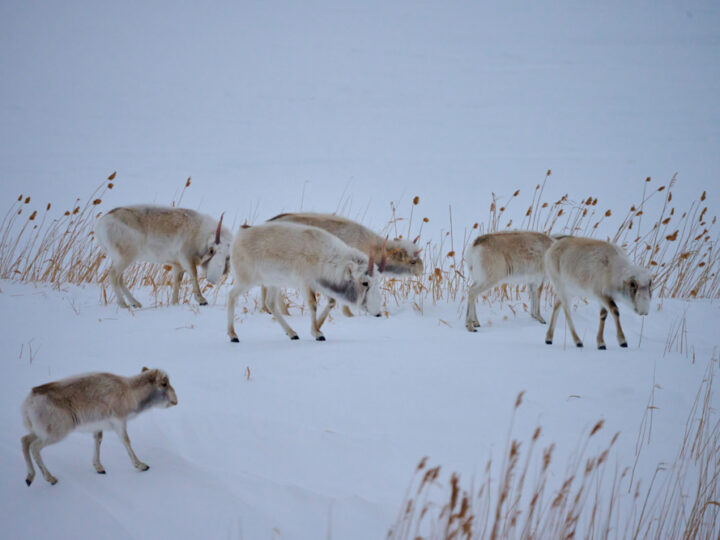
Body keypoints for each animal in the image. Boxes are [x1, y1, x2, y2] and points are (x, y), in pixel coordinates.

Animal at [21, 368, 179, 486]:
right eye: (164, 383)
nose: (176, 401)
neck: (130, 392)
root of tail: (29, 402)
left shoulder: (98, 427)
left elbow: (98, 440)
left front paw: (99, 468)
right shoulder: (119, 422)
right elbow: (126, 441)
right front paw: (141, 465)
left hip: (40, 431)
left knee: (24, 440)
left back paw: (30, 477)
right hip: (55, 433)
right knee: (34, 447)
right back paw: (50, 478)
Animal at [95, 206, 231, 308]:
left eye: (227, 257)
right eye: (212, 250)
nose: (212, 279)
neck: (199, 232)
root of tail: (102, 223)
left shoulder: (177, 265)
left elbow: (177, 281)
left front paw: (174, 302)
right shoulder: (185, 258)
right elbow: (194, 274)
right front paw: (202, 300)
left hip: (121, 260)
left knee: (120, 279)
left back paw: (136, 303)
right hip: (125, 258)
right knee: (113, 275)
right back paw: (124, 305)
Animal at [226, 223, 382, 342]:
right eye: (365, 283)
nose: (378, 313)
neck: (328, 260)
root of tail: (240, 234)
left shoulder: (321, 286)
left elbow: (331, 302)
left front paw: (318, 328)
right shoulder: (306, 284)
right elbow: (313, 305)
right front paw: (317, 334)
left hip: (274, 283)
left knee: (270, 303)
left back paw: (292, 333)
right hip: (246, 280)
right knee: (232, 295)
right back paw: (233, 335)